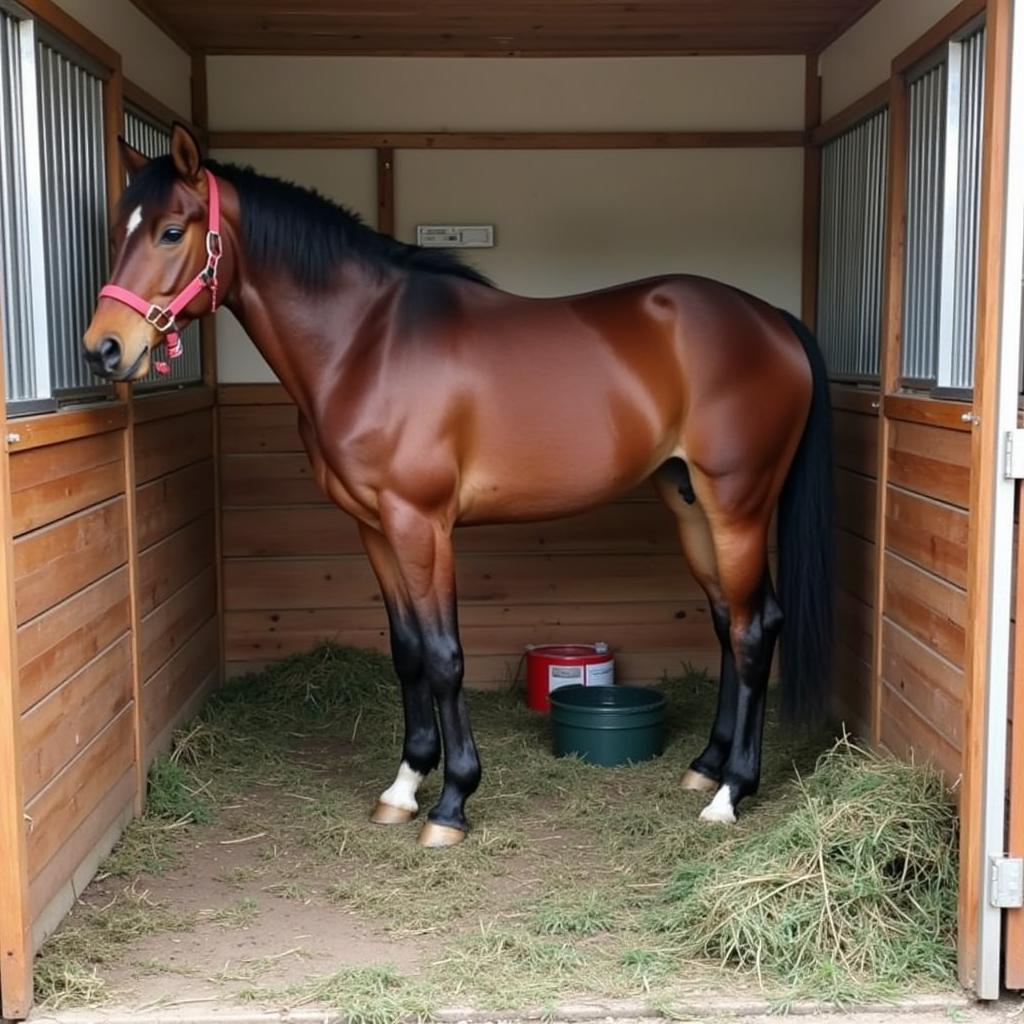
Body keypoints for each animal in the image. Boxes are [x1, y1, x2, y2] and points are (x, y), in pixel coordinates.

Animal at [81, 121, 831, 847]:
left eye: (170, 231)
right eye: (118, 230)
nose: (103, 348)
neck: (367, 344)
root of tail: (774, 321)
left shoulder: (422, 523)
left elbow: (445, 657)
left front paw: (452, 803)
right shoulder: (374, 527)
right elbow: (408, 652)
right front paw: (404, 786)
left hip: (738, 505)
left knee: (755, 629)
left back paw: (731, 794)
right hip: (688, 504)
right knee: (727, 624)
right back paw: (706, 765)